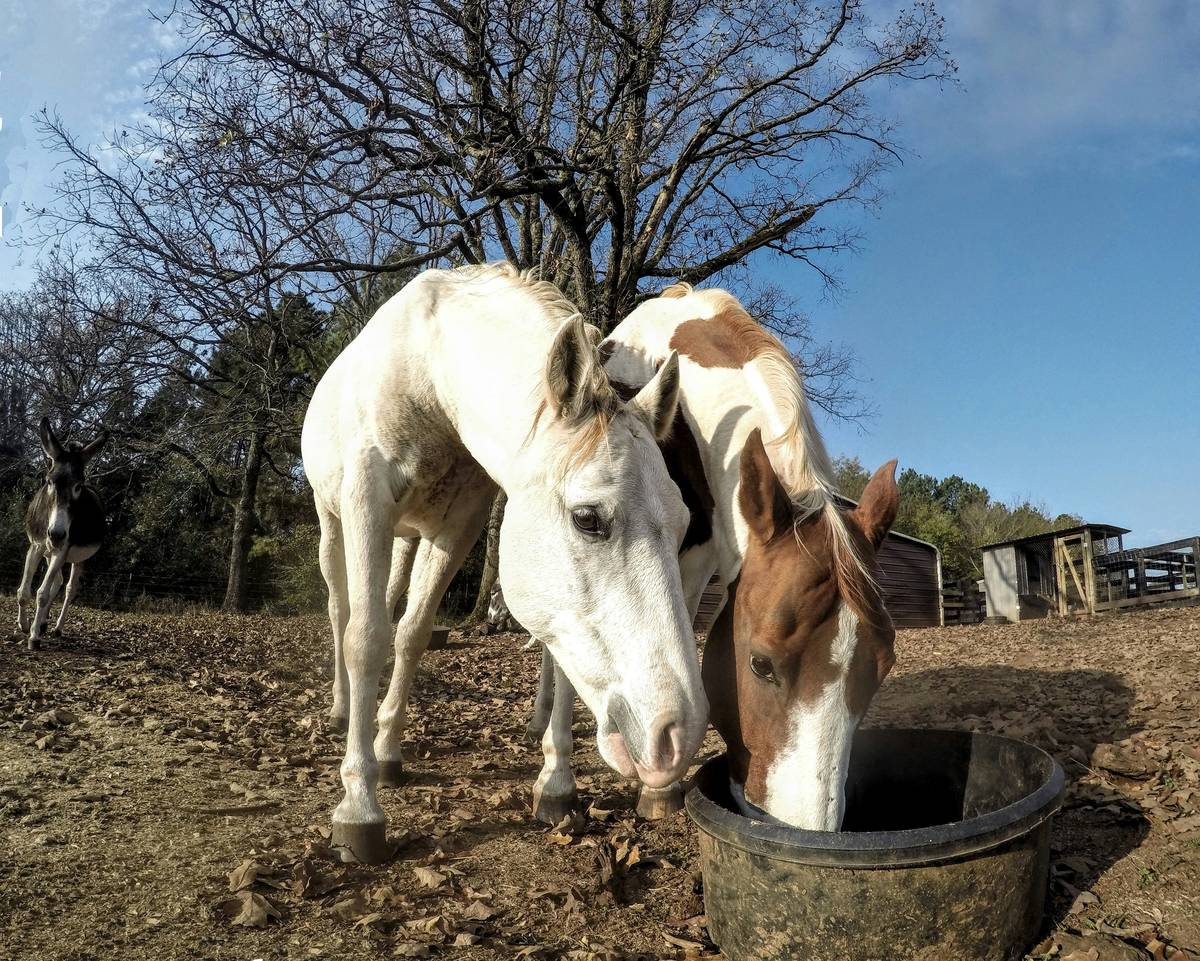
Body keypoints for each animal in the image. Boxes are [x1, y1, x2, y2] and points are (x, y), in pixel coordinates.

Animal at [17, 418, 108, 651]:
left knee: (68, 588)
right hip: (50, 553)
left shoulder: (63, 549)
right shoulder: (37, 545)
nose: (57, 534)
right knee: (57, 582)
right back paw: (42, 624)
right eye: (49, 481)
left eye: (78, 486)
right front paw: (24, 625)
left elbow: (42, 593)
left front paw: (33, 638)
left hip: (78, 557)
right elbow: (24, 591)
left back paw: (56, 628)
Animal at [301, 264, 708, 863]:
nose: (676, 735)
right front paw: (359, 805)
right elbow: (366, 639)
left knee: (396, 610)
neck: (430, 370)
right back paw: (340, 709)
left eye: (682, 523)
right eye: (587, 518)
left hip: (404, 538)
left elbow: (413, 635)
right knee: (340, 612)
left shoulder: (456, 529)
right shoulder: (365, 504)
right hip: (335, 522)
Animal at [529, 284, 899, 830]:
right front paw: (559, 782)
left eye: (883, 667)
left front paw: (659, 785)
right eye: (760, 664)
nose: (807, 831)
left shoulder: (701, 564)